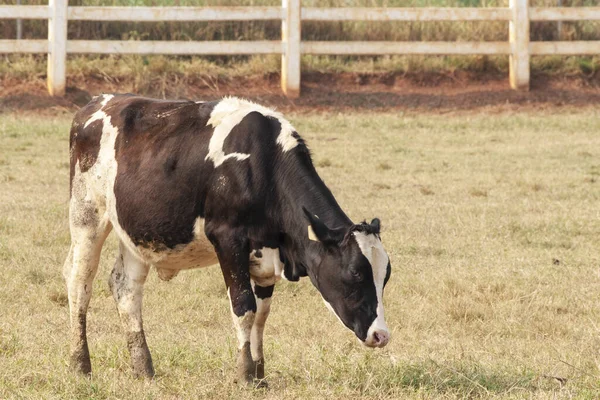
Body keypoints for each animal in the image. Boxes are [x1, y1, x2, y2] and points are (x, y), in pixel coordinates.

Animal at [64, 94, 394, 384]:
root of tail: (97, 103)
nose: (381, 335)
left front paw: (260, 374)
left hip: (136, 234)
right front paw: (245, 374)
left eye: (385, 277)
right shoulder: (228, 241)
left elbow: (261, 313)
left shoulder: (264, 256)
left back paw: (143, 368)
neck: (263, 165)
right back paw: (80, 365)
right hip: (86, 216)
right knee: (80, 283)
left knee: (126, 289)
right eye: (354, 273)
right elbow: (243, 307)